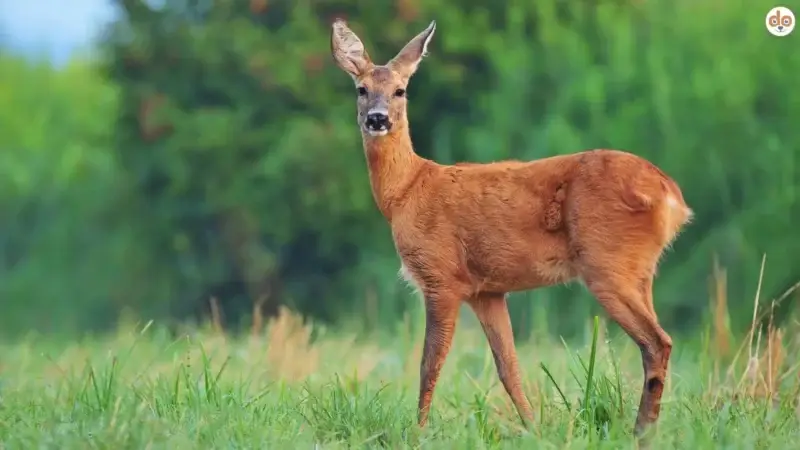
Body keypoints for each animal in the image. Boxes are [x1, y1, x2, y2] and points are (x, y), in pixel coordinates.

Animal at [330, 19, 693, 438]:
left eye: (400, 90)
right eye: (361, 89)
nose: (377, 118)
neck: (407, 190)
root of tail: (670, 195)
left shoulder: (441, 276)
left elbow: (429, 364)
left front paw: (418, 432)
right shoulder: (487, 291)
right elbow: (509, 367)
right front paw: (534, 429)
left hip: (607, 263)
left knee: (657, 342)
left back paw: (640, 432)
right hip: (640, 270)